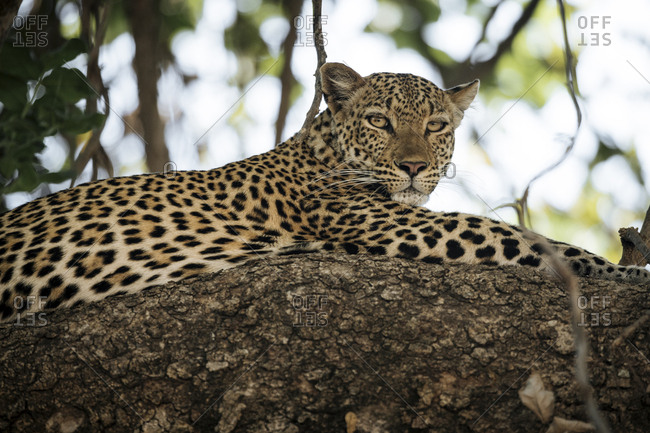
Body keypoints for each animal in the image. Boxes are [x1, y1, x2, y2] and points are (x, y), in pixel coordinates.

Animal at [1, 62, 648, 323]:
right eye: (380, 121)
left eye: (437, 126)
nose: (414, 167)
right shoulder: (389, 223)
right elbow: (526, 240)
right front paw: (628, 273)